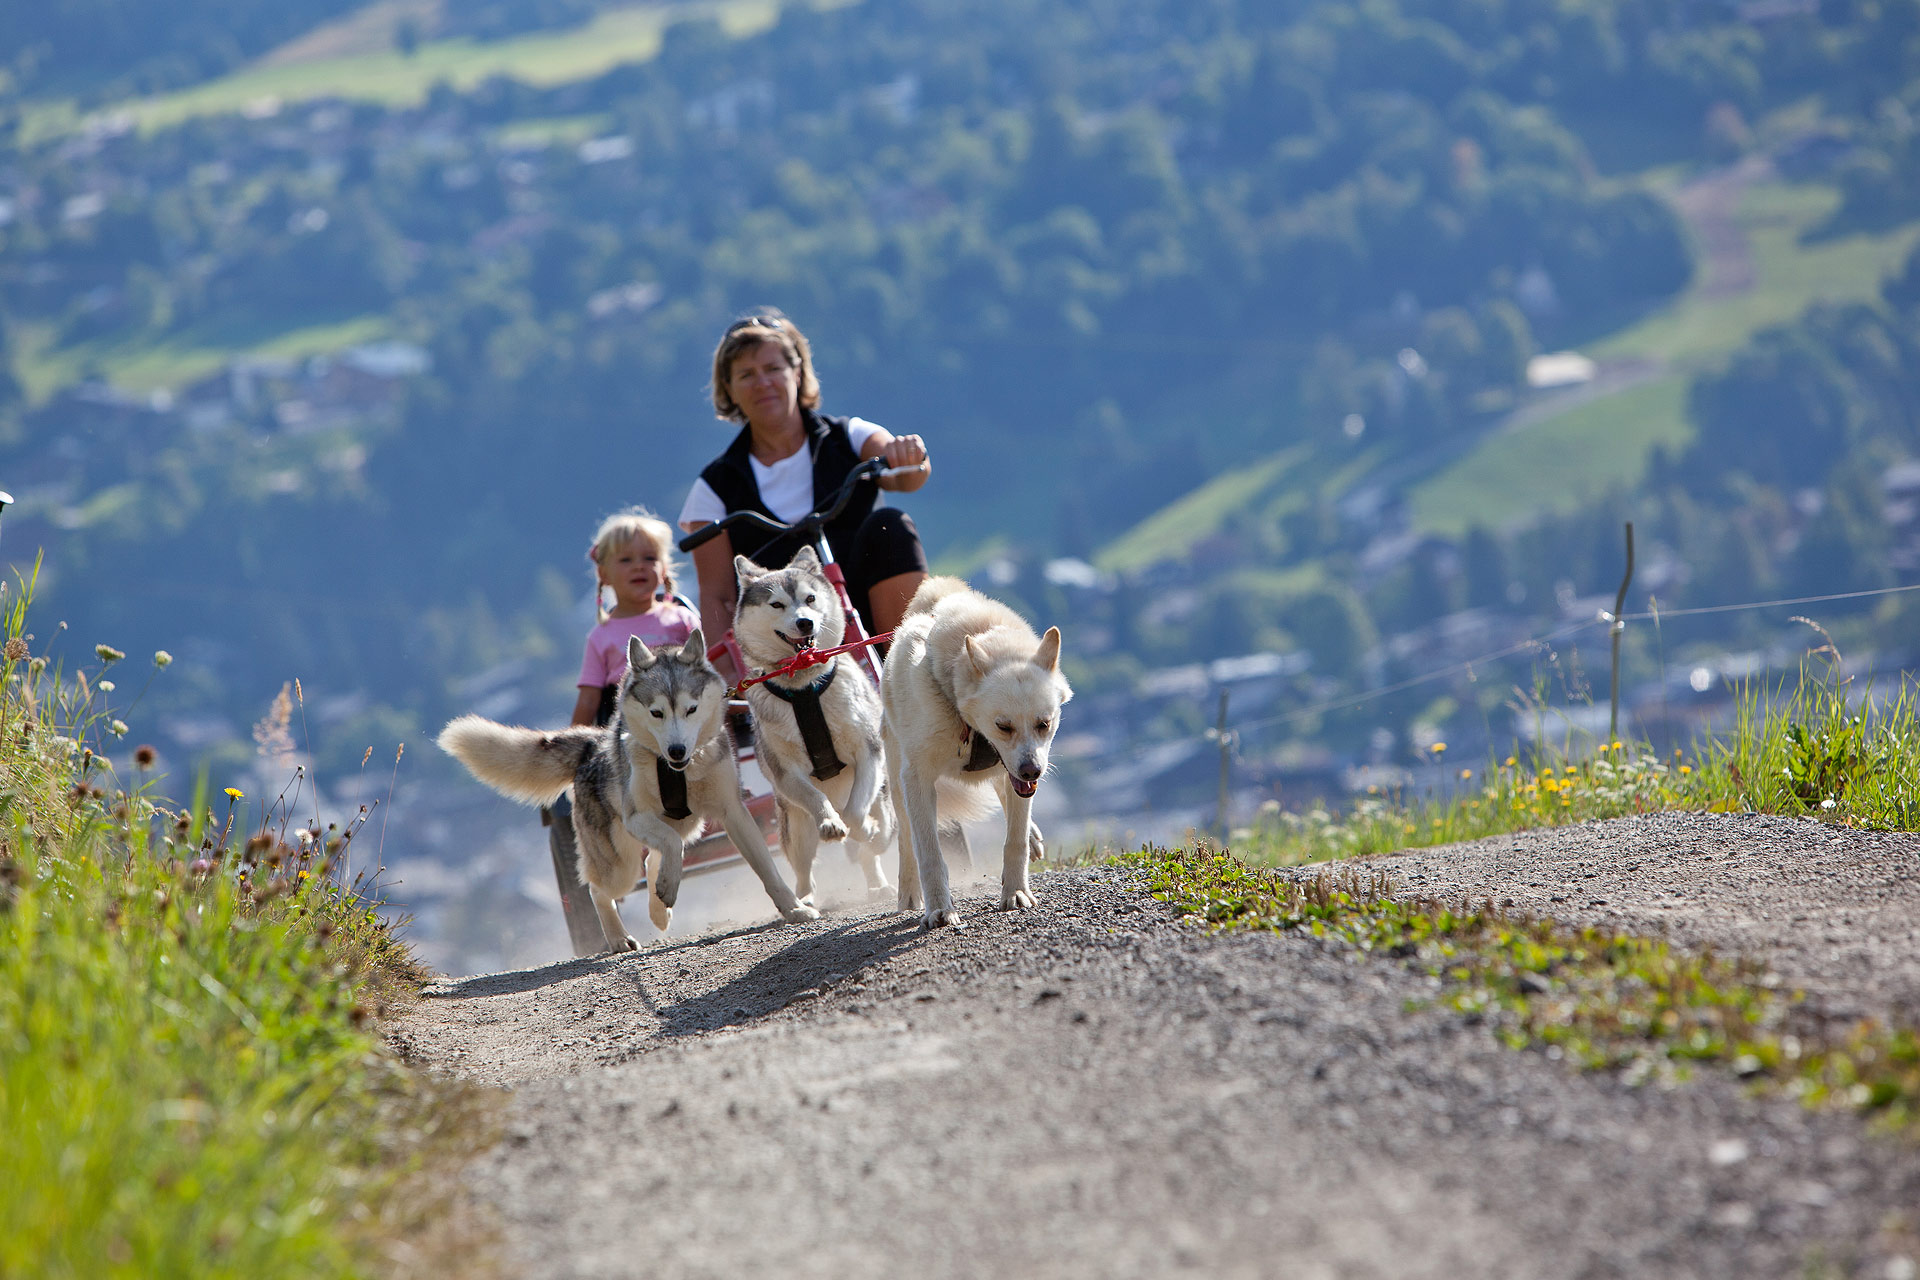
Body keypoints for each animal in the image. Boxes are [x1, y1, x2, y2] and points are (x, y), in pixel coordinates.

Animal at [879, 579, 1075, 932]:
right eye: (1003, 725)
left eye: (1044, 723)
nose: (1032, 772)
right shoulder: (917, 778)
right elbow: (928, 852)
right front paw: (939, 910)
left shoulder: (1016, 777)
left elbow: (1015, 840)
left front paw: (1016, 893)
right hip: (899, 784)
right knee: (906, 839)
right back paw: (909, 894)